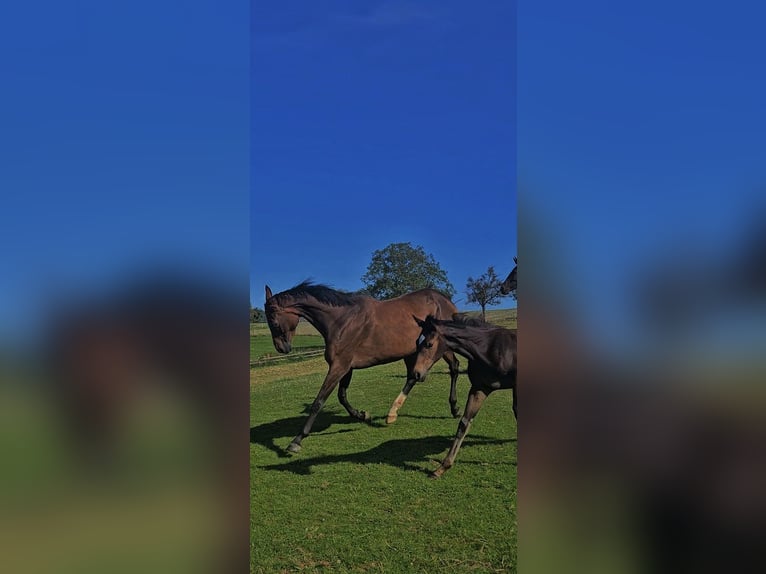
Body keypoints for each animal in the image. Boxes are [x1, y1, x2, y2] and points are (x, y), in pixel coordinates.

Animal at [266, 284, 462, 454]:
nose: (281, 348)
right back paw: (396, 413)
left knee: (453, 368)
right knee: (415, 376)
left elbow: (319, 402)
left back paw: (451, 409)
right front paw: (362, 415)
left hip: (439, 348)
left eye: (273, 321)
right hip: (413, 352)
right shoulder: (346, 367)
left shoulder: (340, 366)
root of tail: (444, 300)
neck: (341, 321)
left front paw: (296, 441)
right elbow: (342, 396)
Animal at [414, 318, 516, 480]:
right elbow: (464, 423)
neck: (489, 349)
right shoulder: (479, 388)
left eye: (429, 344)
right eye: (417, 342)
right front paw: (442, 467)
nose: (417, 373)